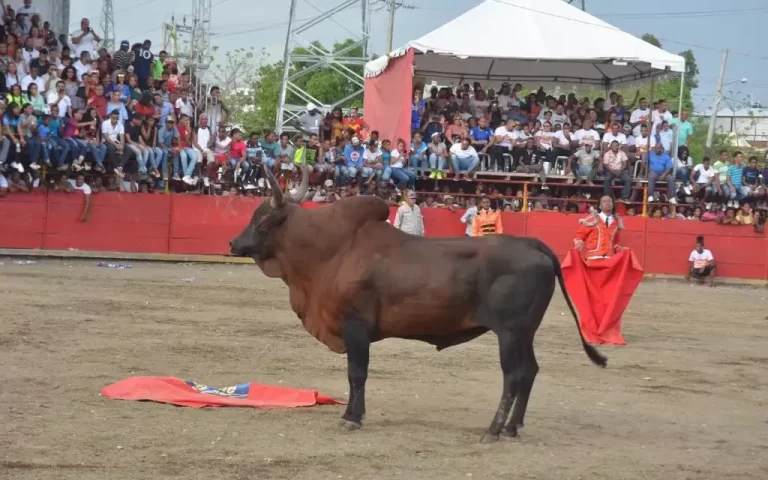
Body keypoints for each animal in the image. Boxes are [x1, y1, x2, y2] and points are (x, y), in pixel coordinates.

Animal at [228, 166, 608, 442]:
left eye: (260, 219)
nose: (233, 243)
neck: (333, 251)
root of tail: (533, 244)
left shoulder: (356, 327)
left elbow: (357, 373)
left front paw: (352, 417)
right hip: (525, 333)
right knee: (529, 371)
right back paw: (513, 428)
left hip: (511, 332)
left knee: (513, 375)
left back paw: (494, 429)